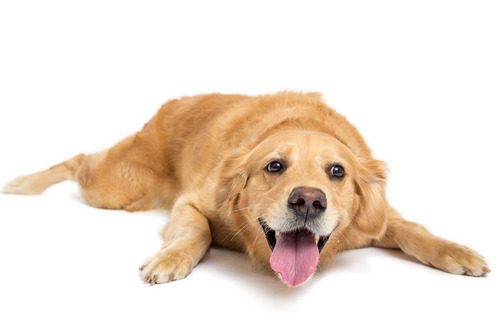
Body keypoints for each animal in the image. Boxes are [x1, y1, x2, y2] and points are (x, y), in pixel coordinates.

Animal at [3, 91, 488, 286]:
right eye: (274, 166)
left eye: (337, 172)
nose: (308, 200)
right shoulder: (191, 203)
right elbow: (195, 232)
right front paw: (170, 260)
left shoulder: (375, 218)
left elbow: (413, 230)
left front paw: (458, 252)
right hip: (118, 187)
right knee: (77, 160)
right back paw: (22, 183)